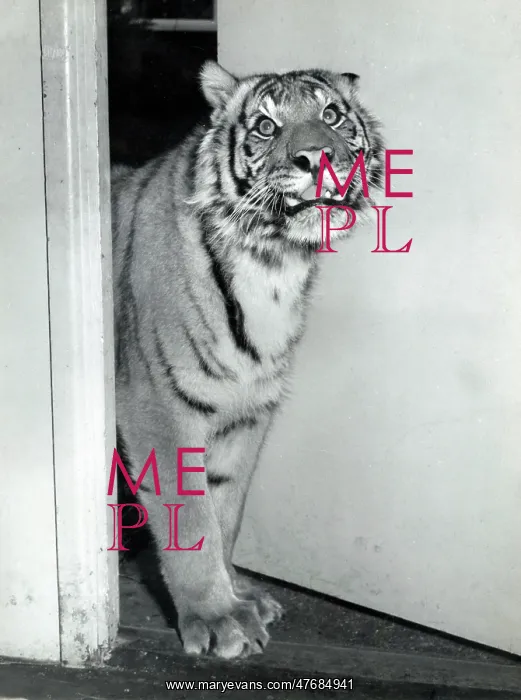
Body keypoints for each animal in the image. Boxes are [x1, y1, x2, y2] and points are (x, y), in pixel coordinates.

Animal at [111, 60, 384, 659]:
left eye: (332, 115)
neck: (273, 262)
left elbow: (225, 511)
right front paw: (217, 619)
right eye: (265, 126)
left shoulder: (246, 411)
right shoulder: (157, 408)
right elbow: (191, 519)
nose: (317, 158)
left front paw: (239, 598)